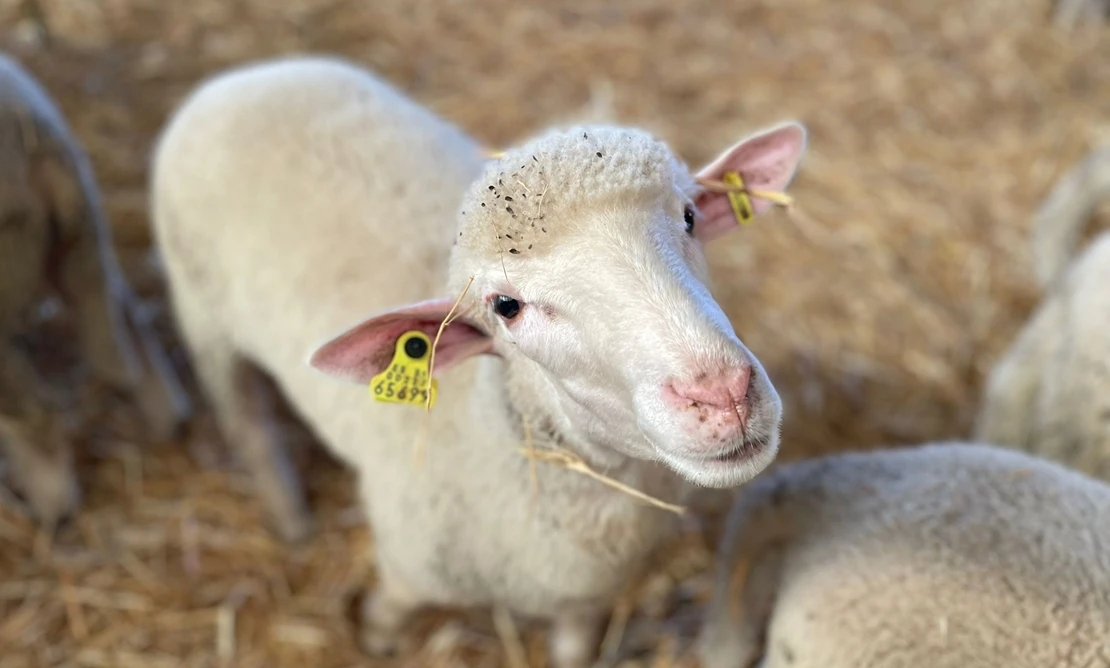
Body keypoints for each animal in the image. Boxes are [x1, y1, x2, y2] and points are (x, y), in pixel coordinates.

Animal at [0, 50, 192, 525]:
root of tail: (29, 146)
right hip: (83, 236)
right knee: (125, 330)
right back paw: (168, 422)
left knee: (37, 411)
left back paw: (52, 509)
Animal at [149, 54, 808, 661]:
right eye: (506, 307)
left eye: (691, 217)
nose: (722, 393)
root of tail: (251, 75)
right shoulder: (406, 569)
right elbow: (385, 616)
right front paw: (374, 641)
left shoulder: (583, 601)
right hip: (202, 309)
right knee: (247, 420)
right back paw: (290, 519)